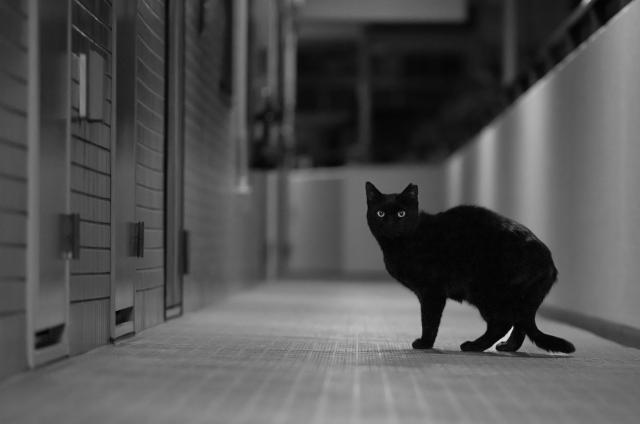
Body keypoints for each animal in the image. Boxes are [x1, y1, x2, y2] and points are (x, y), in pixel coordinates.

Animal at [365, 181, 575, 354]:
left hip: (487, 291)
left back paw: (474, 346)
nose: (390, 223)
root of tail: (549, 261)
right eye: (380, 213)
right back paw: (507, 347)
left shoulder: (432, 291)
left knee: (502, 322)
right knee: (519, 323)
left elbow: (429, 321)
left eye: (401, 213)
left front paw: (425, 344)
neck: (400, 244)